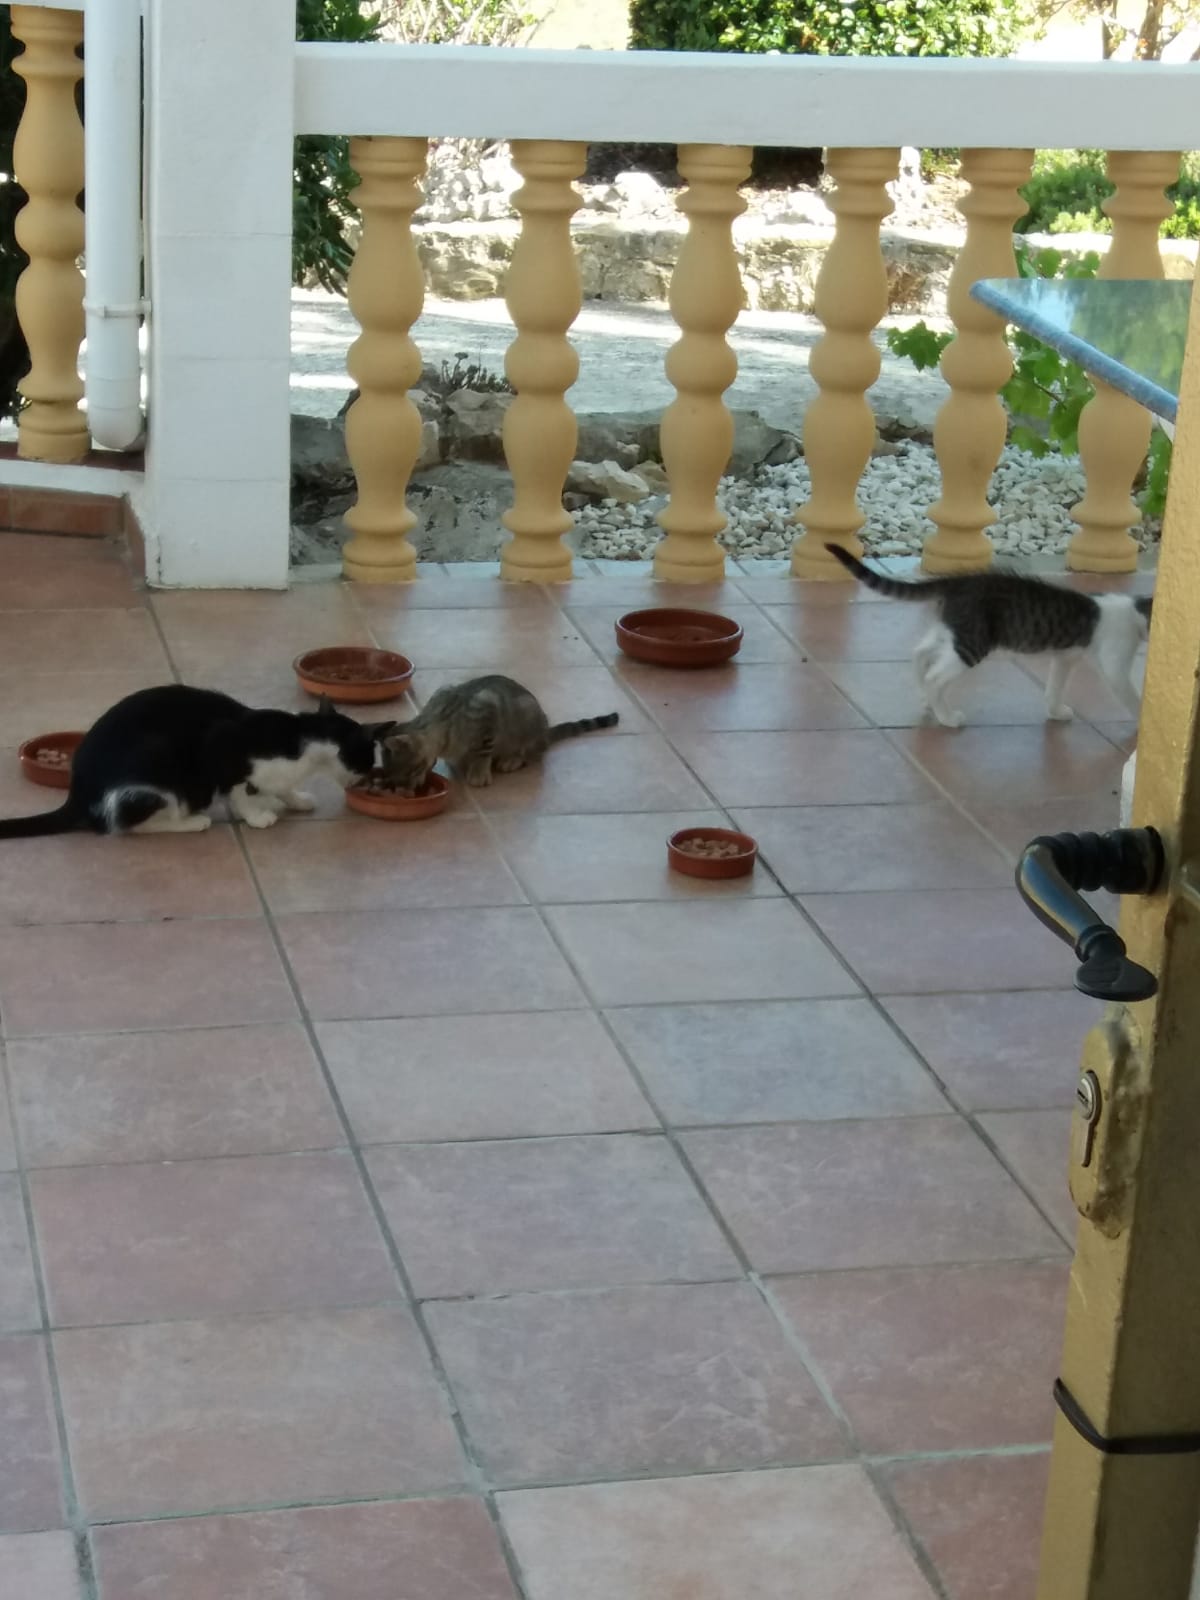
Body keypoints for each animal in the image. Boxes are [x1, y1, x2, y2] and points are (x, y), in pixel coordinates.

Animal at [0, 684, 395, 838]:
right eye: (366, 760)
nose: (362, 781)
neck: (304, 738)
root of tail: (77, 793)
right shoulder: (223, 750)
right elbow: (237, 790)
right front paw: (257, 816)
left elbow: (279, 787)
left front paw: (295, 799)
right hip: (157, 764)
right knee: (123, 823)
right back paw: (191, 821)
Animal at [379, 674, 619, 792]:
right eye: (392, 778)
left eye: (408, 773)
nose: (404, 791)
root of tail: (545, 731)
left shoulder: (486, 711)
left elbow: (483, 752)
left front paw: (478, 773)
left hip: (527, 720)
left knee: (531, 754)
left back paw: (511, 760)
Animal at [826, 545, 1152, 728]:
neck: (1135, 610)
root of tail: (958, 582)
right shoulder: (1115, 663)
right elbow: (1128, 692)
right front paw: (1142, 725)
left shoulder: (1064, 657)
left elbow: (1055, 686)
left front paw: (1056, 710)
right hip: (972, 643)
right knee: (935, 676)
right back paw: (946, 717)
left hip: (952, 629)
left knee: (920, 653)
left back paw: (926, 699)